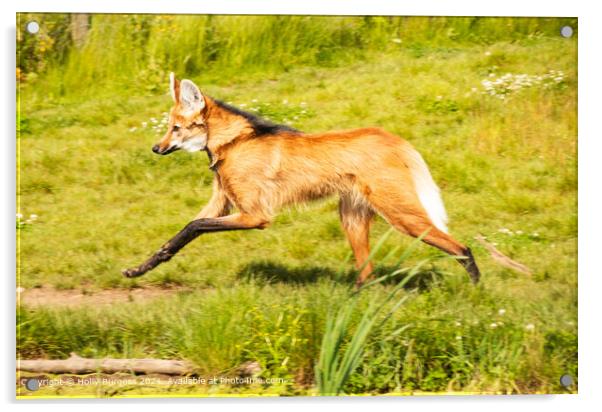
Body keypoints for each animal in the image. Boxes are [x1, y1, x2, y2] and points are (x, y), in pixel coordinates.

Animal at [122, 74, 478, 284]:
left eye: (175, 128)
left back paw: (474, 289)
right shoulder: (223, 203)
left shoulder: (255, 216)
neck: (234, 143)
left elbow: (195, 225)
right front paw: (139, 269)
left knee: (460, 247)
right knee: (367, 273)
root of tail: (393, 138)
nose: (156, 148)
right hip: (352, 217)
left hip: (400, 214)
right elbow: (181, 233)